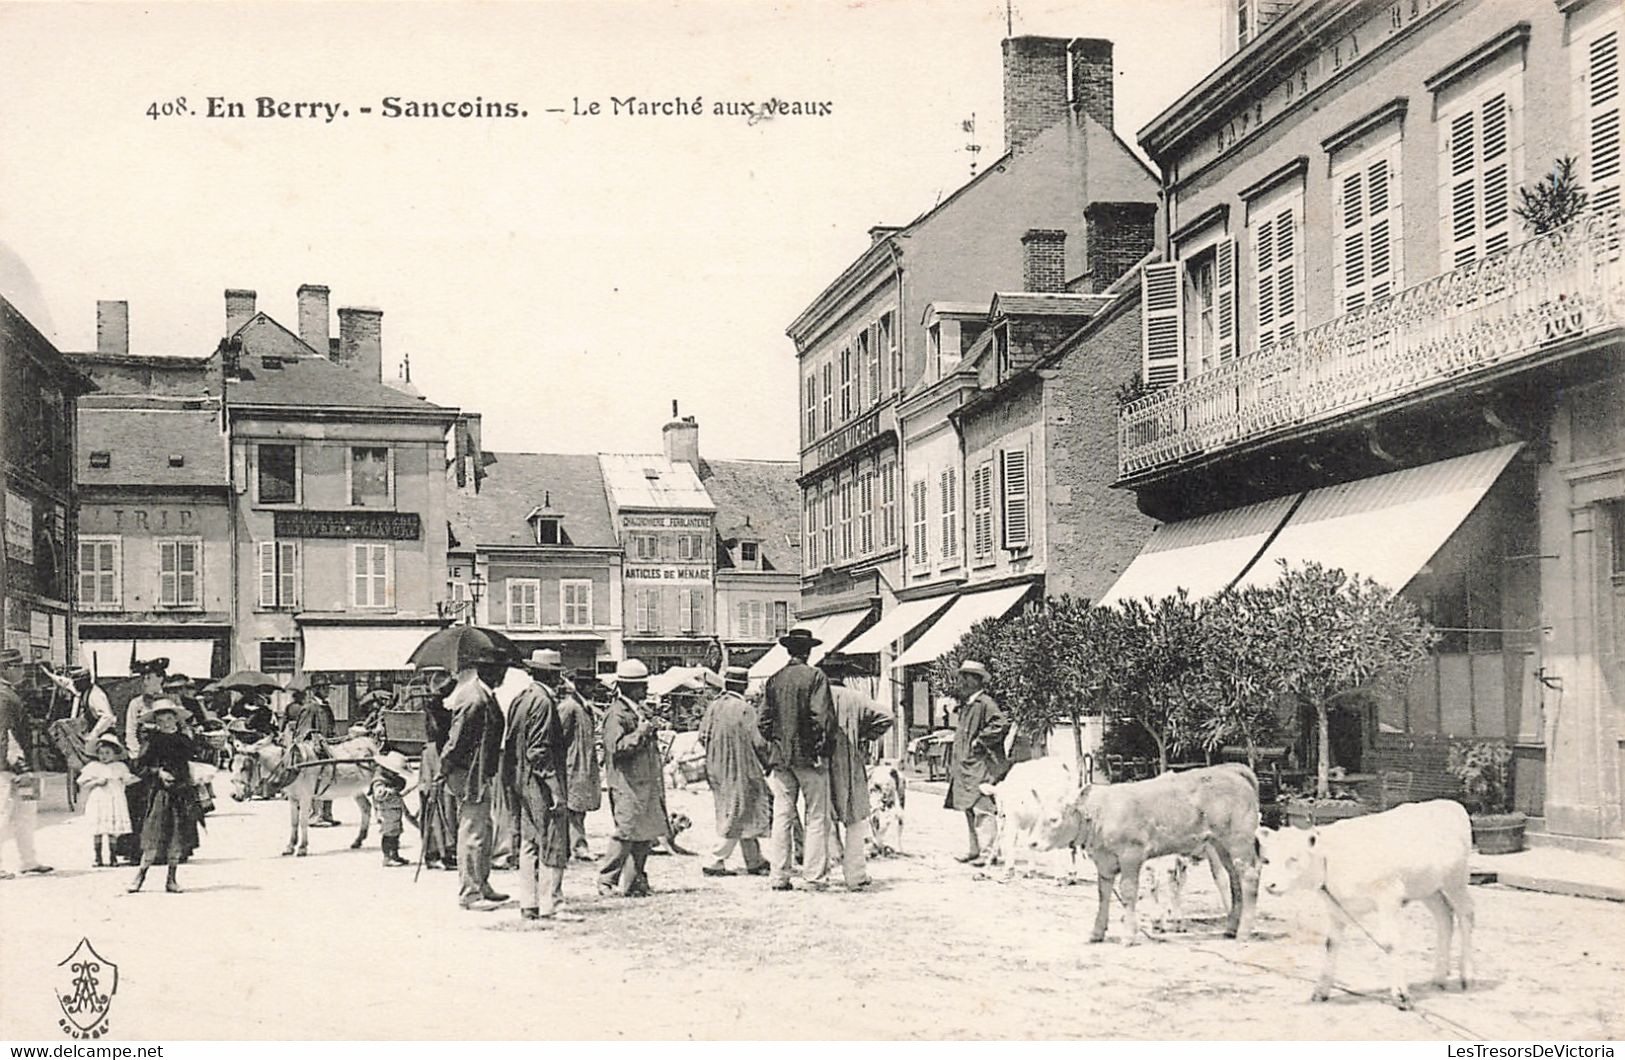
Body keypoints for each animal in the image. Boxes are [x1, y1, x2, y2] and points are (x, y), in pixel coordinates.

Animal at [1254, 799, 1475, 1007]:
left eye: (1293, 858)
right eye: (1267, 860)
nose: (1269, 885)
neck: (1331, 860)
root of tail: (1450, 804)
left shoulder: (1389, 895)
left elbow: (1391, 943)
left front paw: (1401, 995)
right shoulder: (1335, 907)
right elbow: (1331, 944)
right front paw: (1320, 991)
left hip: (1456, 881)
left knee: (1466, 915)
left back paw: (1466, 976)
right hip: (1428, 888)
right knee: (1445, 917)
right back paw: (1438, 978)